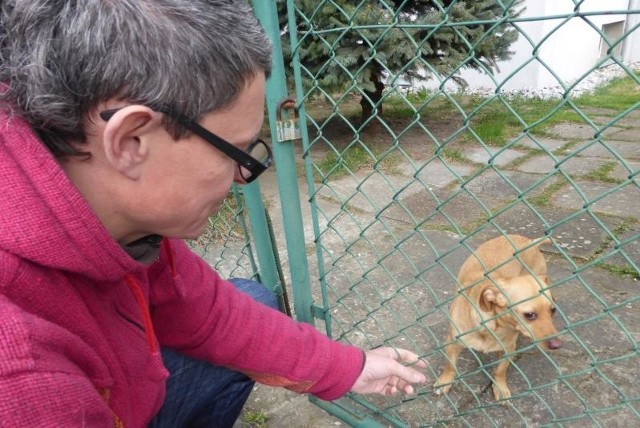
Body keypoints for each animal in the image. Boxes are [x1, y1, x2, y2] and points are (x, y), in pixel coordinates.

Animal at [436, 236, 560, 402]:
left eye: (553, 310)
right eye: (530, 315)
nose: (557, 345)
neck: (490, 328)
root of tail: (527, 240)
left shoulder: (509, 349)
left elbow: (500, 370)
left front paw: (500, 387)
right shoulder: (452, 343)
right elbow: (450, 366)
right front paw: (445, 381)